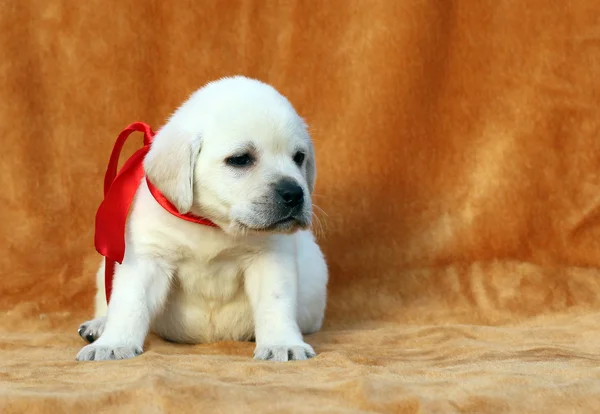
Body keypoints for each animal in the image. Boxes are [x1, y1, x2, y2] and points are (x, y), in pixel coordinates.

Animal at [76, 76, 328, 360]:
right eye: (240, 159)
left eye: (299, 157)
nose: (294, 193)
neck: (212, 224)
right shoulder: (147, 258)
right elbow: (130, 304)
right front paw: (113, 343)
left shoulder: (270, 259)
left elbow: (275, 303)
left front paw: (282, 344)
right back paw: (99, 325)